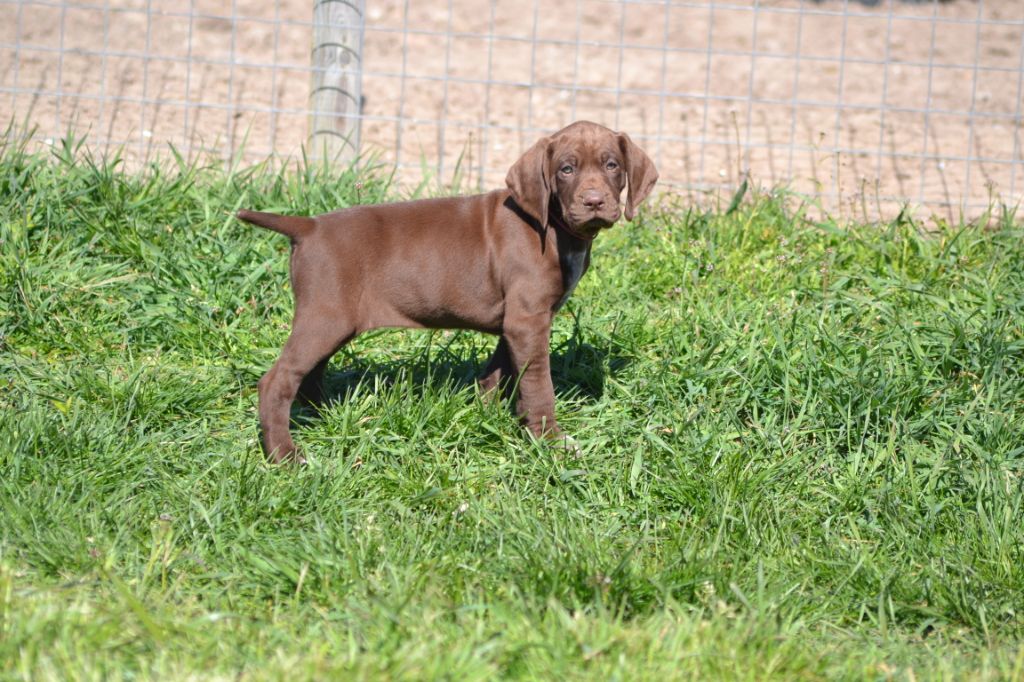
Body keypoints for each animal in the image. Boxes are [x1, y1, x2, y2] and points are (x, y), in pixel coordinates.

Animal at [238, 122, 655, 462]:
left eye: (612, 165)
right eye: (566, 169)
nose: (594, 202)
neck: (552, 226)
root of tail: (308, 226)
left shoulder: (514, 323)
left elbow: (498, 373)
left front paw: (487, 417)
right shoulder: (528, 320)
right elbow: (538, 384)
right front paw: (550, 442)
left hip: (332, 321)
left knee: (309, 374)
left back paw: (324, 417)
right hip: (325, 316)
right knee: (277, 382)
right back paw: (284, 455)